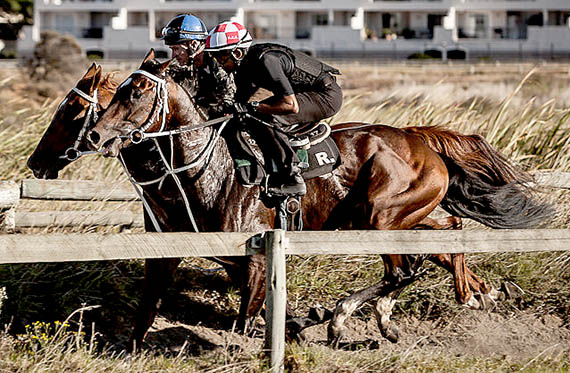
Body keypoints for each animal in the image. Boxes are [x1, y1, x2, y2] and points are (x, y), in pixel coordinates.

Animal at [86, 53, 552, 346]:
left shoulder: (257, 259)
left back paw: (349, 316)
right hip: (398, 215)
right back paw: (472, 293)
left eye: (137, 91)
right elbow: (147, 310)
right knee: (445, 234)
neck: (207, 169)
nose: (94, 134)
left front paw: (309, 319)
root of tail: (419, 138)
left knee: (402, 269)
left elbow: (245, 322)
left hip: (381, 215)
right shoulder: (174, 251)